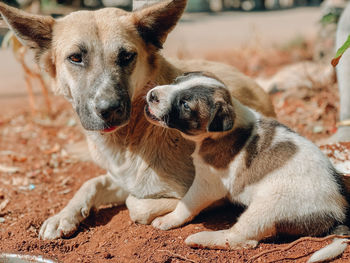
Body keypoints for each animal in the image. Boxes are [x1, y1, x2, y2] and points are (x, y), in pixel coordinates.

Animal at [0, 0, 276, 240]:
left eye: (126, 57)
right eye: (75, 58)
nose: (109, 109)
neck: (132, 138)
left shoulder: (208, 193)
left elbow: (137, 205)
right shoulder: (120, 177)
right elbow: (90, 183)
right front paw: (63, 216)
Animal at [146, 71, 350, 250]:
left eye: (185, 105)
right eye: (176, 81)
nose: (152, 95)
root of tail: (337, 211)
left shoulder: (207, 184)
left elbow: (186, 203)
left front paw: (168, 219)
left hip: (269, 206)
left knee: (240, 238)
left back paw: (200, 239)